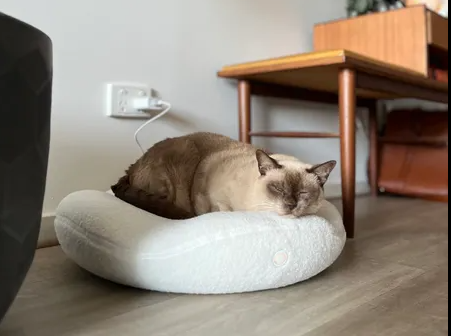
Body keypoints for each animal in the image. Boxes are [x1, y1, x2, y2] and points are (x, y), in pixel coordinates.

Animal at [111, 131, 338, 220]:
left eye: (302, 193)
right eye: (278, 188)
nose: (291, 205)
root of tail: (132, 167)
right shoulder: (212, 201)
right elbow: (221, 212)